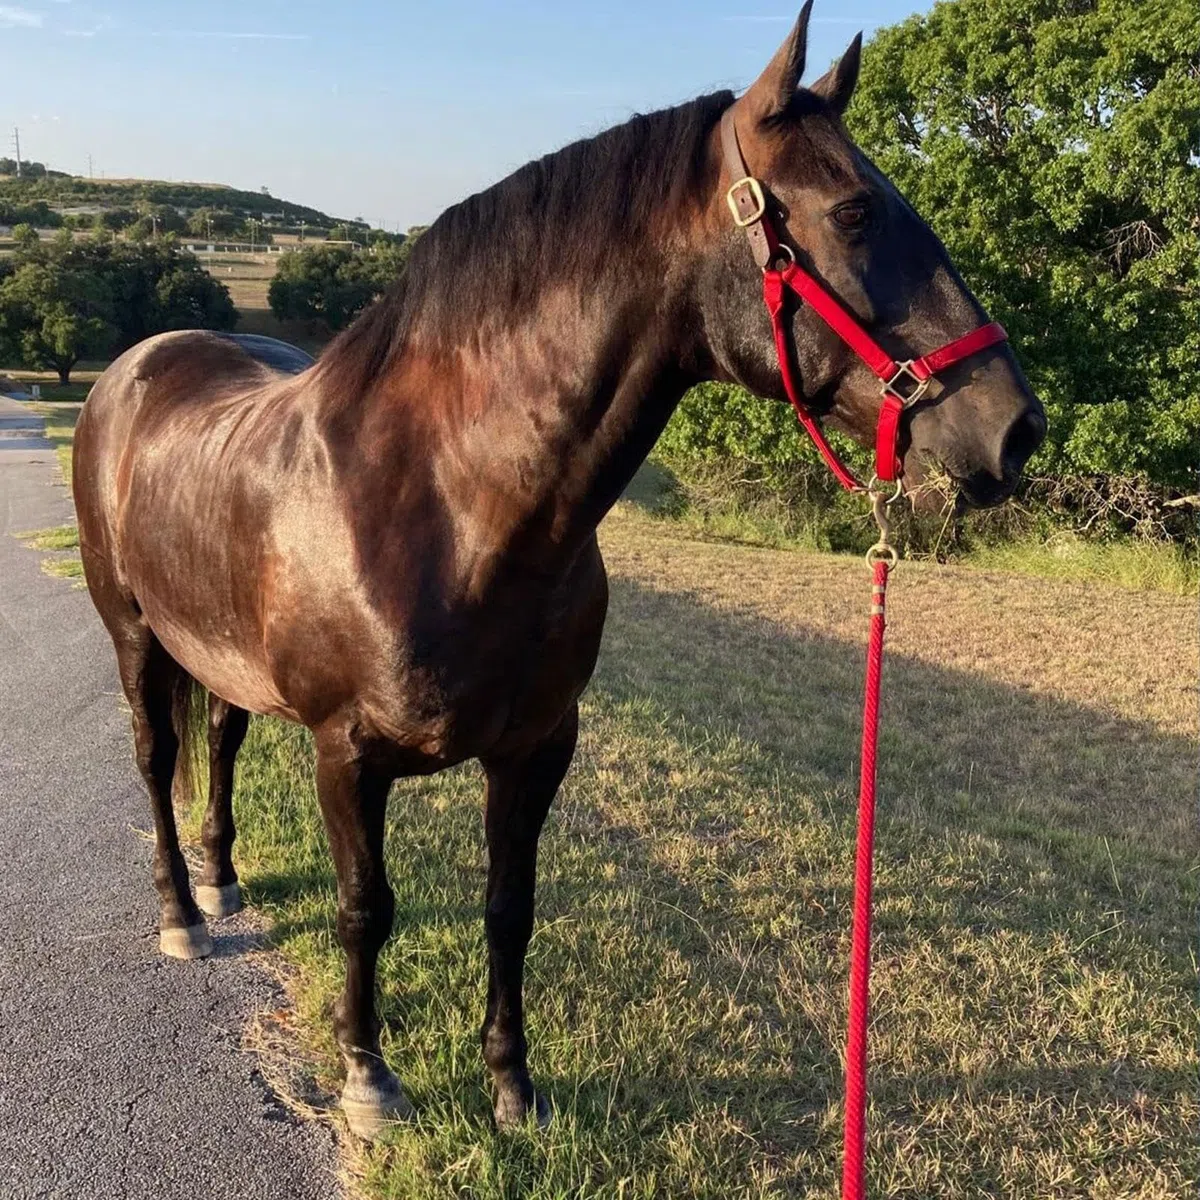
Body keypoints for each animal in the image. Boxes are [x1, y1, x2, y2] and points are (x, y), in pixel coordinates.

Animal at [72, 5, 1045, 1138]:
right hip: (136, 635)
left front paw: (512, 1086)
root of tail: (138, 366)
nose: (1016, 430)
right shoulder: (345, 754)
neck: (452, 504)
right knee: (156, 758)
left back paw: (223, 880)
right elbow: (365, 908)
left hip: (220, 653)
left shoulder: (535, 749)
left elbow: (510, 906)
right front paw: (369, 1078)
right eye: (854, 212)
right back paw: (184, 913)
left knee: (220, 741)